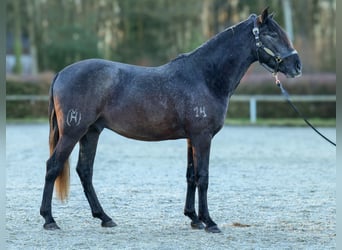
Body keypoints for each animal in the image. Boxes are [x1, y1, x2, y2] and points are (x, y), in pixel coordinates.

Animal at [40, 8, 302, 234]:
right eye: (271, 34)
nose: (297, 66)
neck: (204, 77)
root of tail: (61, 73)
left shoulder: (191, 138)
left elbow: (191, 176)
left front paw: (194, 218)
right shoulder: (202, 137)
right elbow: (203, 177)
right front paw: (209, 222)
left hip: (91, 132)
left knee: (85, 171)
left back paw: (105, 218)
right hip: (73, 132)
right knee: (53, 166)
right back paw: (49, 219)